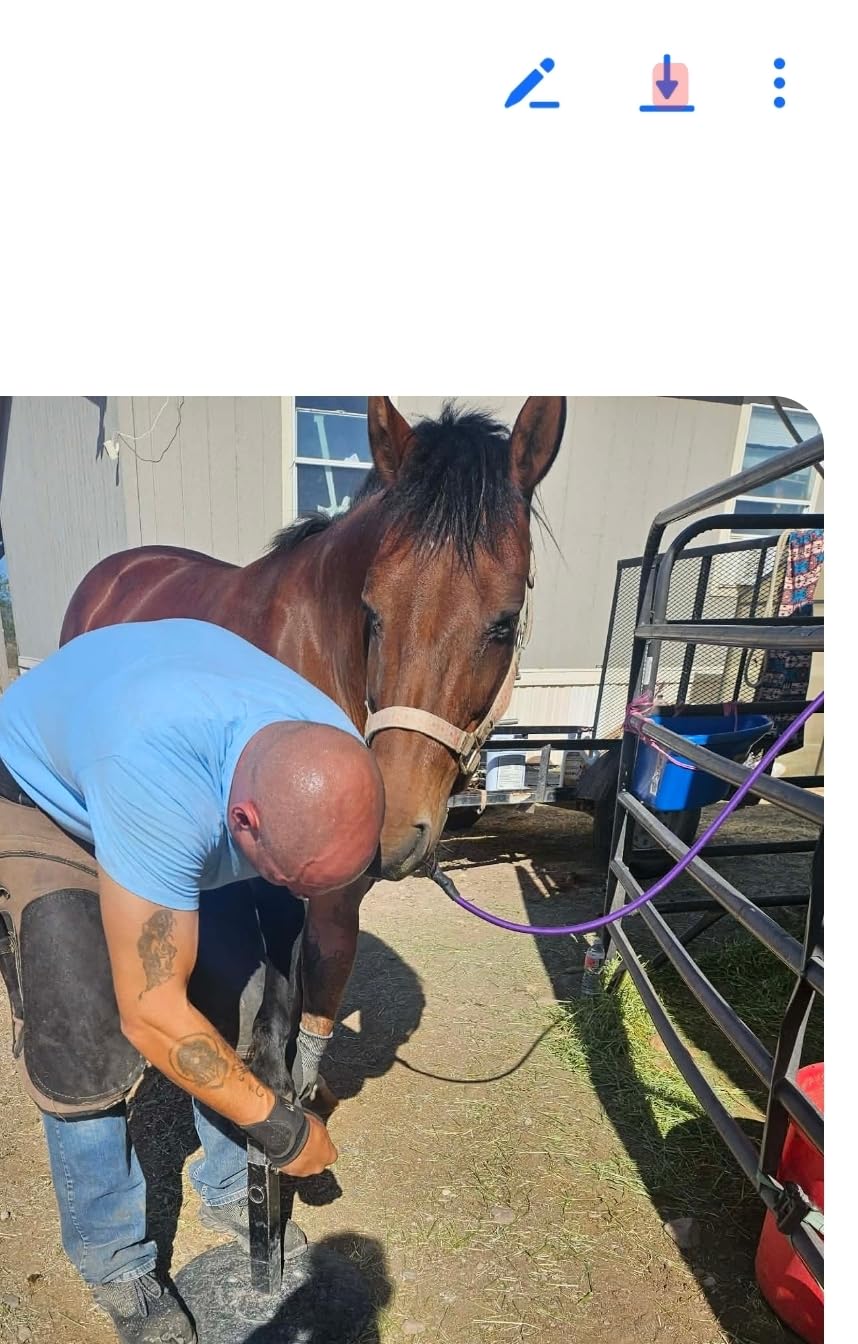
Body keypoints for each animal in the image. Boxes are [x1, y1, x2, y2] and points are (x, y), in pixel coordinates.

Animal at [60, 396, 565, 1090]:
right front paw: (274, 1083)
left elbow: (324, 967)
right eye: (372, 611)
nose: (393, 830)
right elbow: (283, 974)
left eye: (505, 622)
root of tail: (119, 568)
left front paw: (304, 1079)